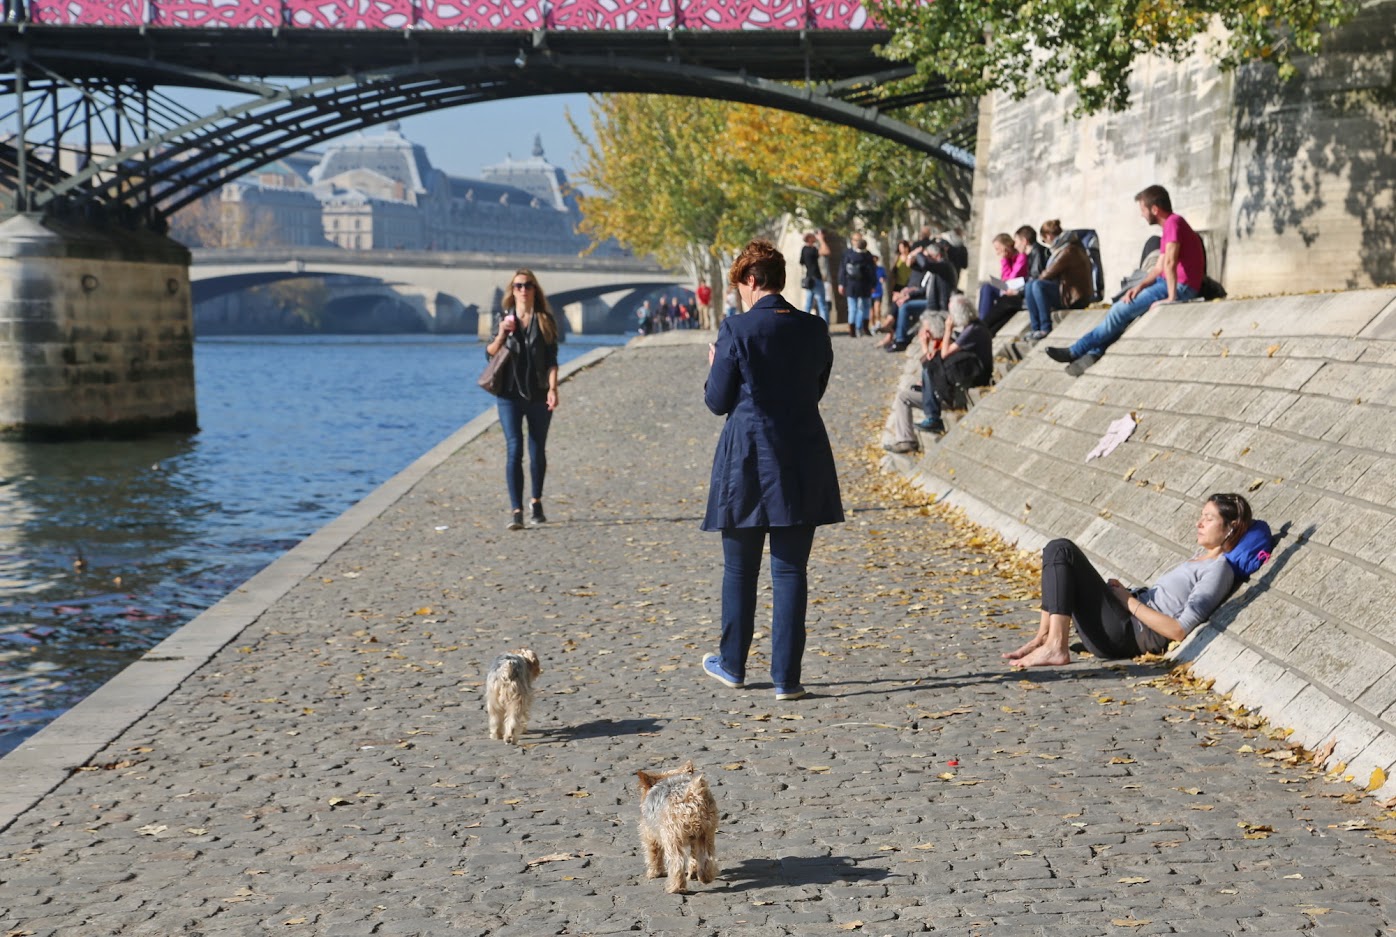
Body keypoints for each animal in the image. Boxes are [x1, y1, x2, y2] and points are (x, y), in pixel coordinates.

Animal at [636, 759, 714, 893]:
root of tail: (690, 797)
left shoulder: (649, 833)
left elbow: (653, 854)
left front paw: (654, 873)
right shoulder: (695, 838)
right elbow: (694, 857)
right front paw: (693, 872)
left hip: (671, 837)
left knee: (677, 862)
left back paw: (676, 888)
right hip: (706, 832)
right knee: (707, 856)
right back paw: (706, 877)